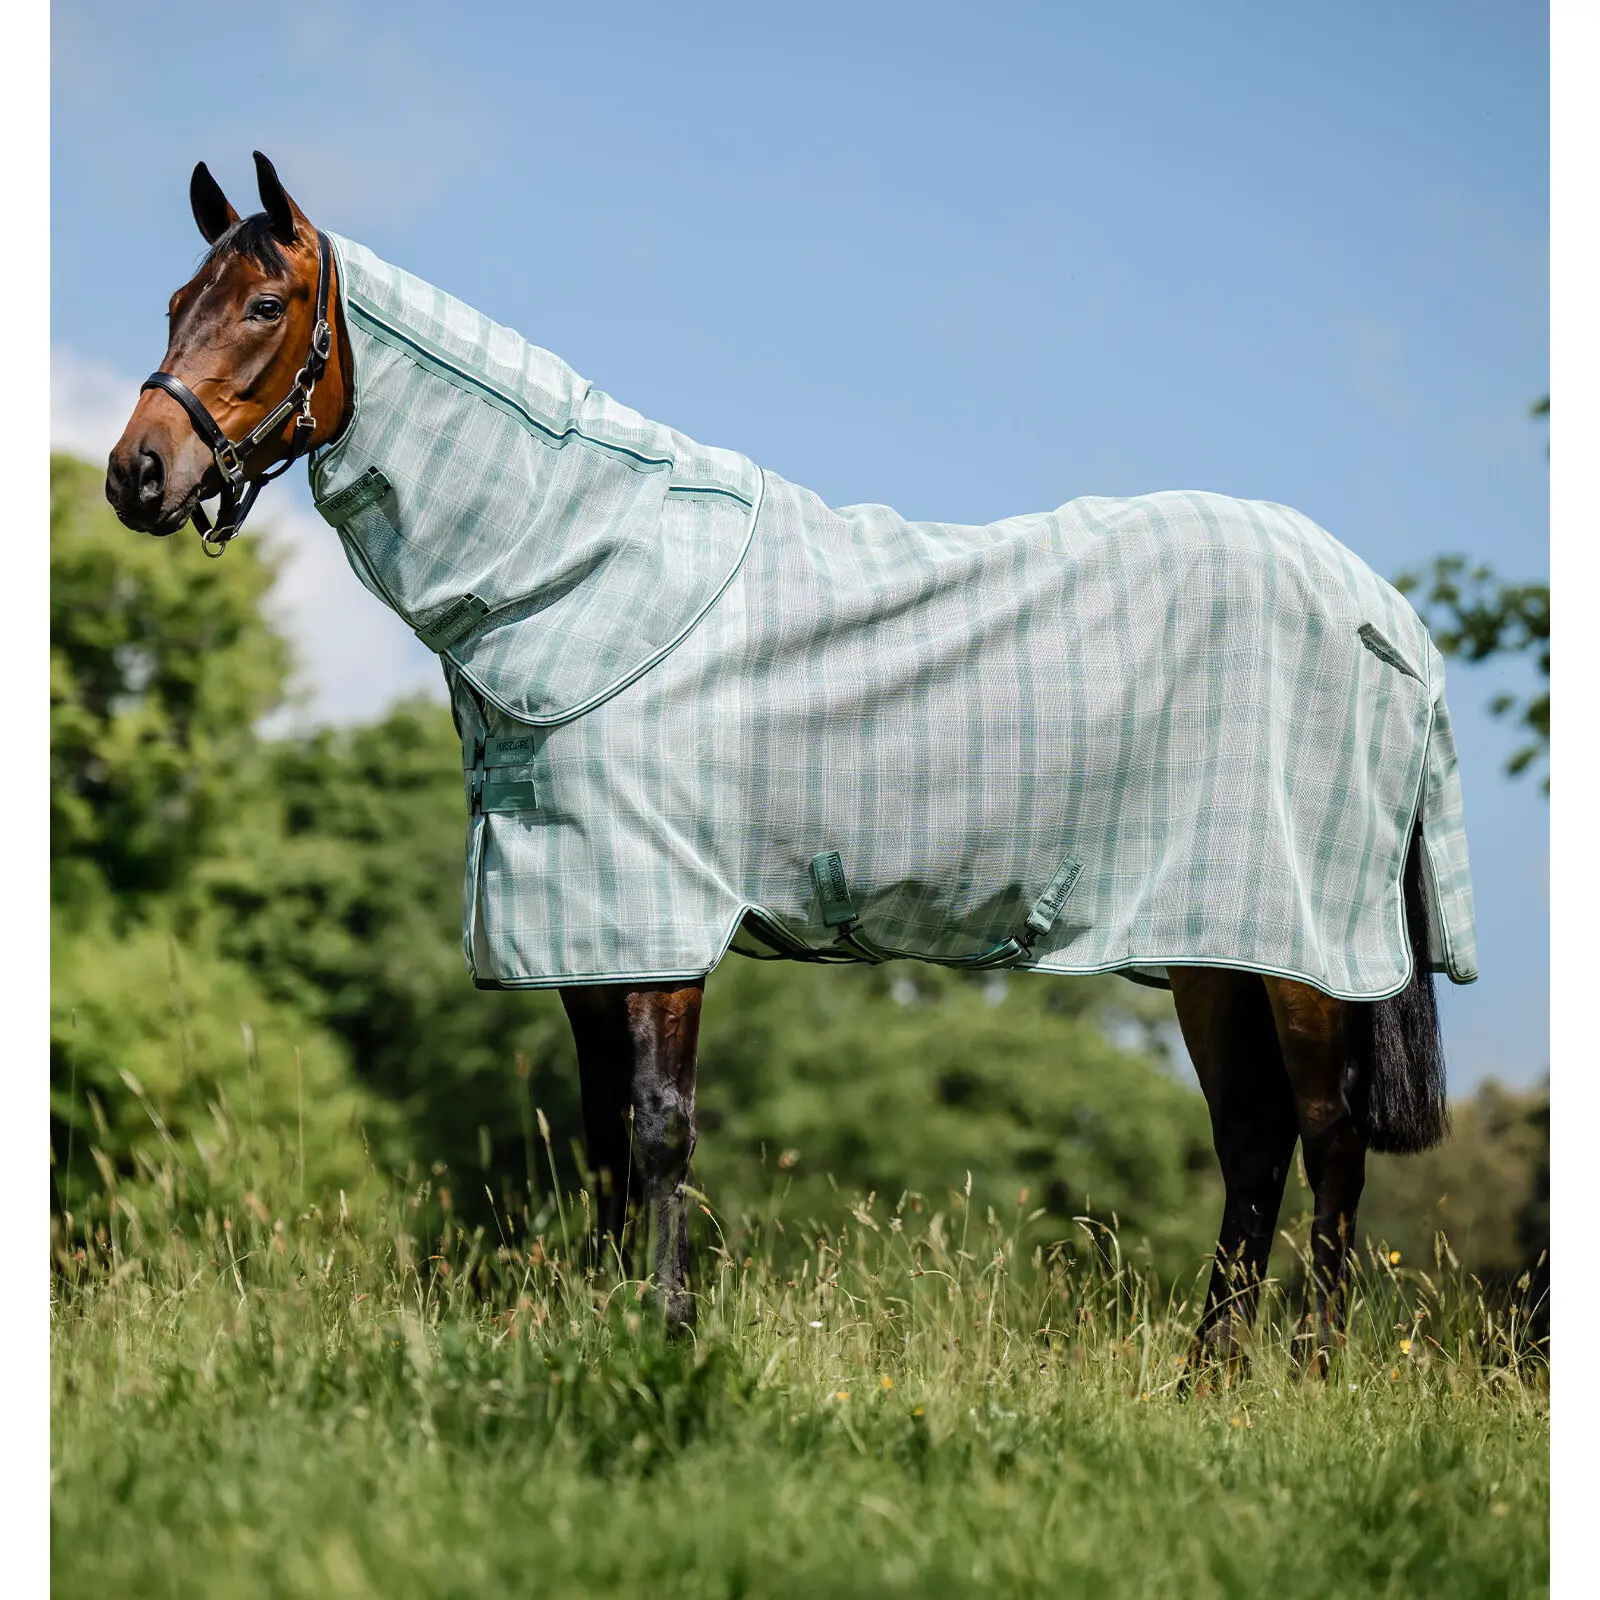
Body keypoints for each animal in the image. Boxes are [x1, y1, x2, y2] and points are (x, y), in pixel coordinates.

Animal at [106, 153, 1468, 1374]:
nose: (137, 475)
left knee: (1327, 1137)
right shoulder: (582, 928)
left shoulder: (653, 917)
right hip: (1209, 949)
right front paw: (608, 1329)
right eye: (173, 303)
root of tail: (1384, 614)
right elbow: (604, 1138)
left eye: (266, 307)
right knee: (1252, 1139)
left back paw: (1306, 1374)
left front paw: (666, 1336)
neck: (586, 565)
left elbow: (659, 1131)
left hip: (1298, 952)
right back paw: (1207, 1379)